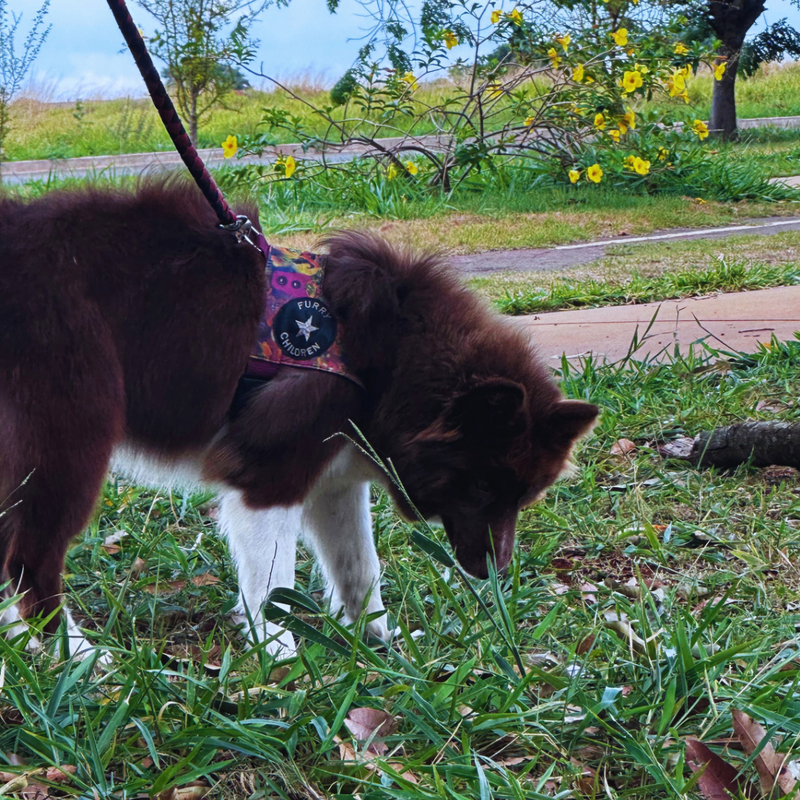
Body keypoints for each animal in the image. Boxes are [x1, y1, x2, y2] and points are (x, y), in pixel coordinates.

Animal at [0, 181, 600, 656]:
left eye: (524, 498)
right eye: (478, 487)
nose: (494, 574)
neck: (387, 354)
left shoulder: (335, 481)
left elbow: (360, 568)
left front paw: (381, 643)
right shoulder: (269, 473)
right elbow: (271, 585)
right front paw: (283, 659)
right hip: (71, 435)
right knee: (30, 560)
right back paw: (80, 660)